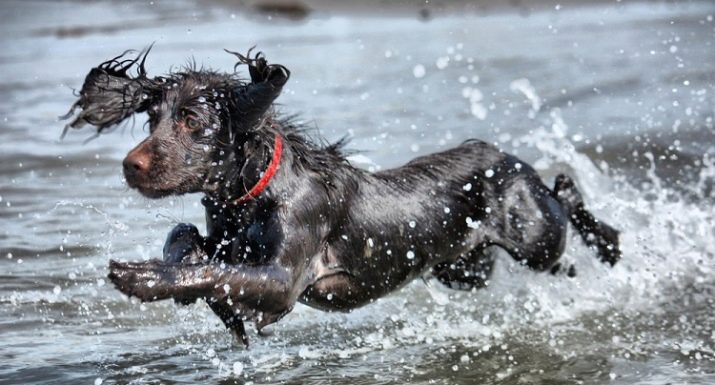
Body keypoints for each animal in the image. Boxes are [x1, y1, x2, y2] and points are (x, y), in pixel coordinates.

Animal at [63, 47, 620, 344]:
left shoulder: (283, 280)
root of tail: (506, 156)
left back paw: (604, 234)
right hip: (463, 269)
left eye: (192, 120)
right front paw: (207, 299)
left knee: (566, 211)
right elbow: (186, 240)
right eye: (152, 118)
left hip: (537, 238)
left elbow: (217, 272)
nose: (130, 166)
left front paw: (140, 278)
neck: (254, 198)